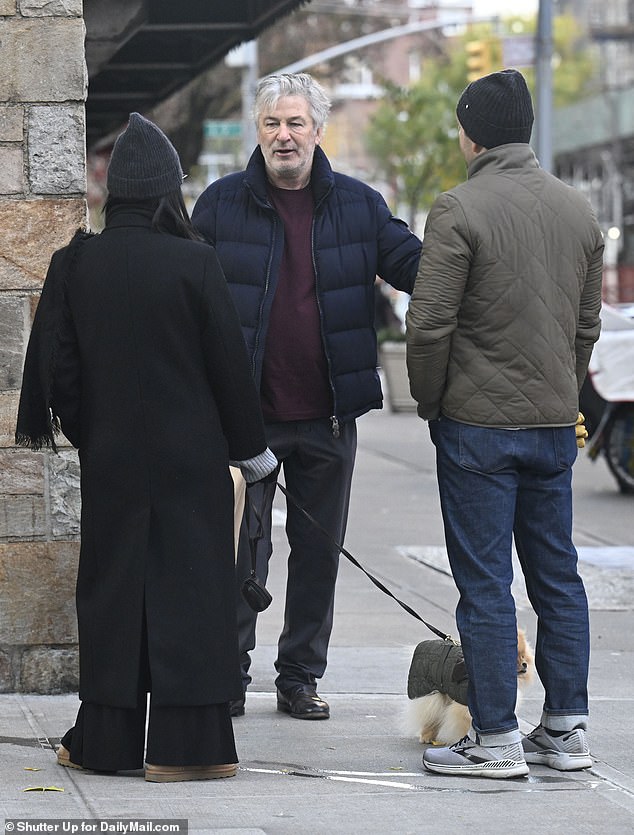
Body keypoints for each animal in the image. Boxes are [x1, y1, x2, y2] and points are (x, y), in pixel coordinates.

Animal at [402, 628, 532, 744]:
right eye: (515, 658)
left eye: (523, 656)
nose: (525, 664)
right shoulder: (464, 707)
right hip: (432, 694)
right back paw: (426, 736)